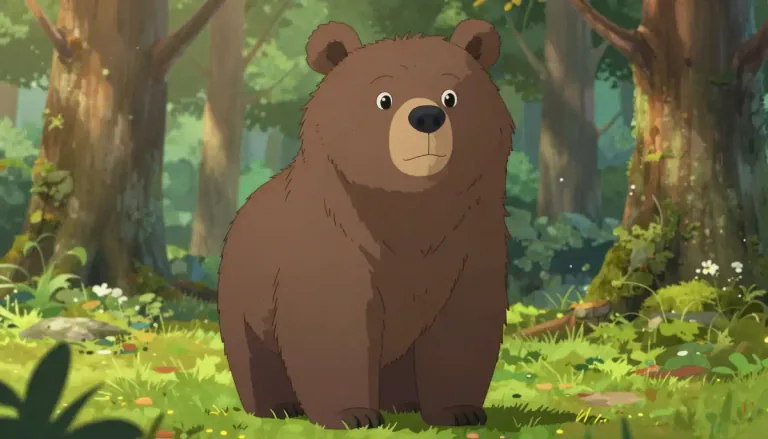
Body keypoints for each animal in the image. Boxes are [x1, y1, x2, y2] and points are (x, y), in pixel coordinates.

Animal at [217, 18, 515, 430]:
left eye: (450, 96)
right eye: (383, 98)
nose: (426, 117)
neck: (409, 209)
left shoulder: (470, 239)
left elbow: (463, 321)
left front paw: (460, 410)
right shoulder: (333, 236)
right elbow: (335, 317)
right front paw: (351, 415)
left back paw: (403, 402)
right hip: (243, 290)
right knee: (253, 352)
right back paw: (277, 406)